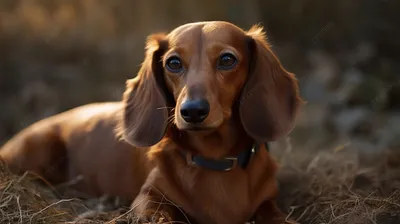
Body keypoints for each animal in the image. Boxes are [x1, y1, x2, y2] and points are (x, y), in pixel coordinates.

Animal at [0, 21, 300, 224]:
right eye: (173, 63)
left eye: (227, 59)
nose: (192, 111)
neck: (214, 159)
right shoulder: (148, 199)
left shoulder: (269, 200)